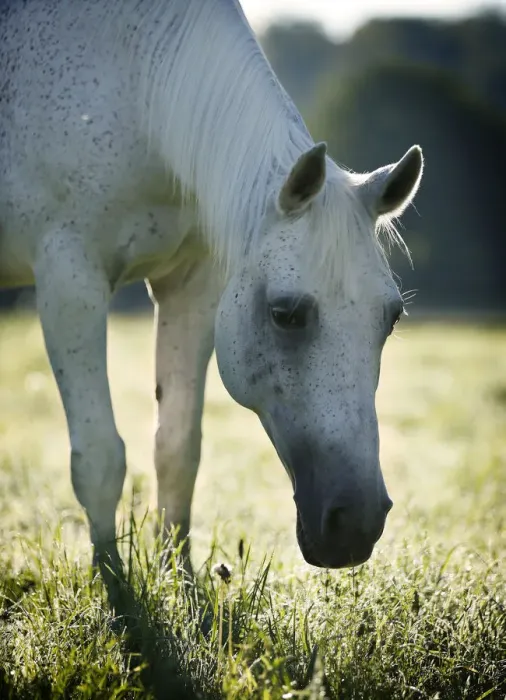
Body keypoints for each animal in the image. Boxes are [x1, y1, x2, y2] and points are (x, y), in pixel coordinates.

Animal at [0, 0, 423, 577]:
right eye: (285, 314)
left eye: (391, 317)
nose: (355, 524)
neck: (138, 81)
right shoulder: (70, 281)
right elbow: (100, 456)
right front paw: (116, 587)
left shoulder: (192, 291)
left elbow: (178, 448)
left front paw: (177, 573)